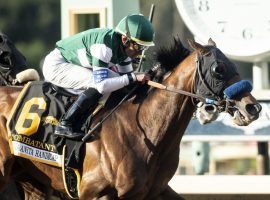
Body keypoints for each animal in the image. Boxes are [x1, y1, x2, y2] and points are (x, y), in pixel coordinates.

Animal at [0, 38, 262, 199]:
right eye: (218, 69)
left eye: (233, 64)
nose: (253, 108)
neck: (145, 130)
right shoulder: (96, 192)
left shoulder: (155, 191)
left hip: (31, 180)